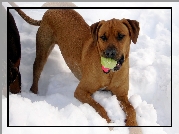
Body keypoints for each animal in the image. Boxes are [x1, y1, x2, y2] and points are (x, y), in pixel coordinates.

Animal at [10, 7, 140, 126]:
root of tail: (49, 10)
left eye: (121, 36)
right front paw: (108, 122)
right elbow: (99, 107)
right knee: (36, 70)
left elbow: (131, 110)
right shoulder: (81, 91)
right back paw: (34, 91)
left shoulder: (121, 95)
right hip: (43, 48)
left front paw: (132, 124)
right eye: (103, 37)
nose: (109, 53)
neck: (111, 73)